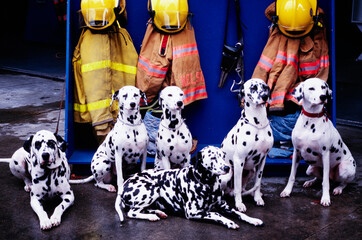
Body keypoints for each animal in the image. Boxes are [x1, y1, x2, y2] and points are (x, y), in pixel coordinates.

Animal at [117, 145, 264, 230]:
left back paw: (158, 212)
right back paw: (151, 216)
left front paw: (253, 219)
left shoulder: (225, 207)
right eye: (212, 157)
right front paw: (229, 222)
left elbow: (240, 213)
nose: (227, 168)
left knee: (143, 209)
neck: (208, 185)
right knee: (132, 212)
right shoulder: (193, 212)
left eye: (223, 156)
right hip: (152, 189)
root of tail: (124, 185)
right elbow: (216, 213)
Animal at [219, 78, 272, 212]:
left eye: (265, 87)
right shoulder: (239, 161)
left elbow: (258, 183)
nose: (265, 96)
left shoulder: (262, 160)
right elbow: (237, 187)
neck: (258, 124)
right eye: (253, 88)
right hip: (228, 174)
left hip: (251, 171)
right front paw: (239, 204)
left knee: (243, 188)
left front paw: (258, 198)